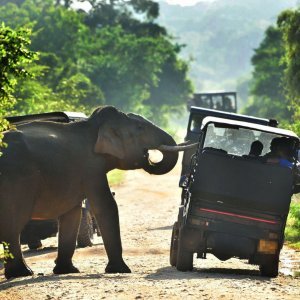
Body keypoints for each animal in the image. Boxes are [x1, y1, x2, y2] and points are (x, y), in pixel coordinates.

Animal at [0, 105, 193, 278]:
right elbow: (106, 205)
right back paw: (22, 273)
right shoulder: (91, 167)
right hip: (17, 178)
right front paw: (121, 270)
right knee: (14, 222)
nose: (148, 157)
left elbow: (72, 213)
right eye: (140, 128)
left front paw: (68, 271)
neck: (93, 126)